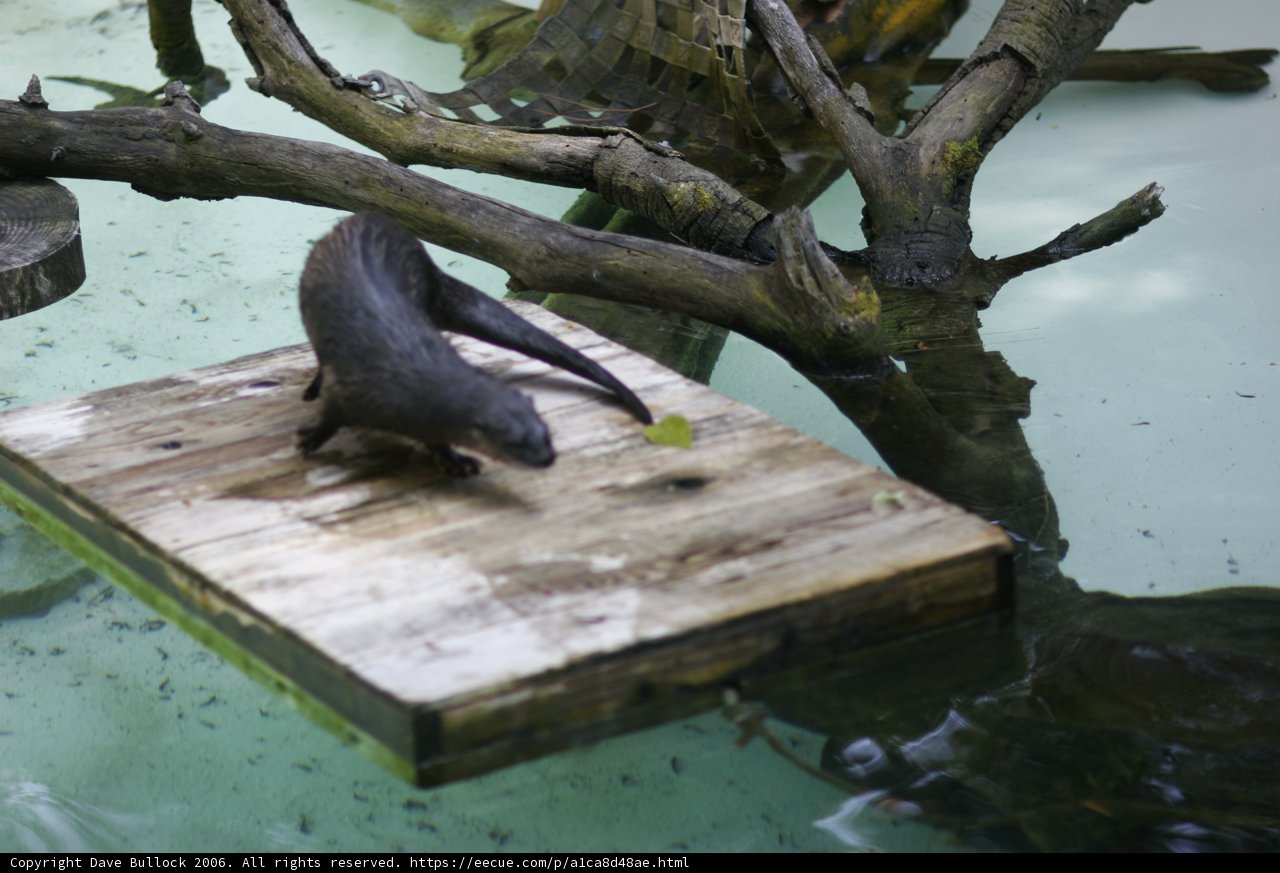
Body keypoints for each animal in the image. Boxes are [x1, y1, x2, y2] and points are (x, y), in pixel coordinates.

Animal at [297, 213, 650, 473]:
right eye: (514, 443)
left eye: (546, 433)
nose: (548, 458)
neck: (410, 379)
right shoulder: (351, 394)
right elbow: (330, 417)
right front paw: (309, 439)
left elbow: (436, 438)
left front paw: (454, 459)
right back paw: (312, 388)